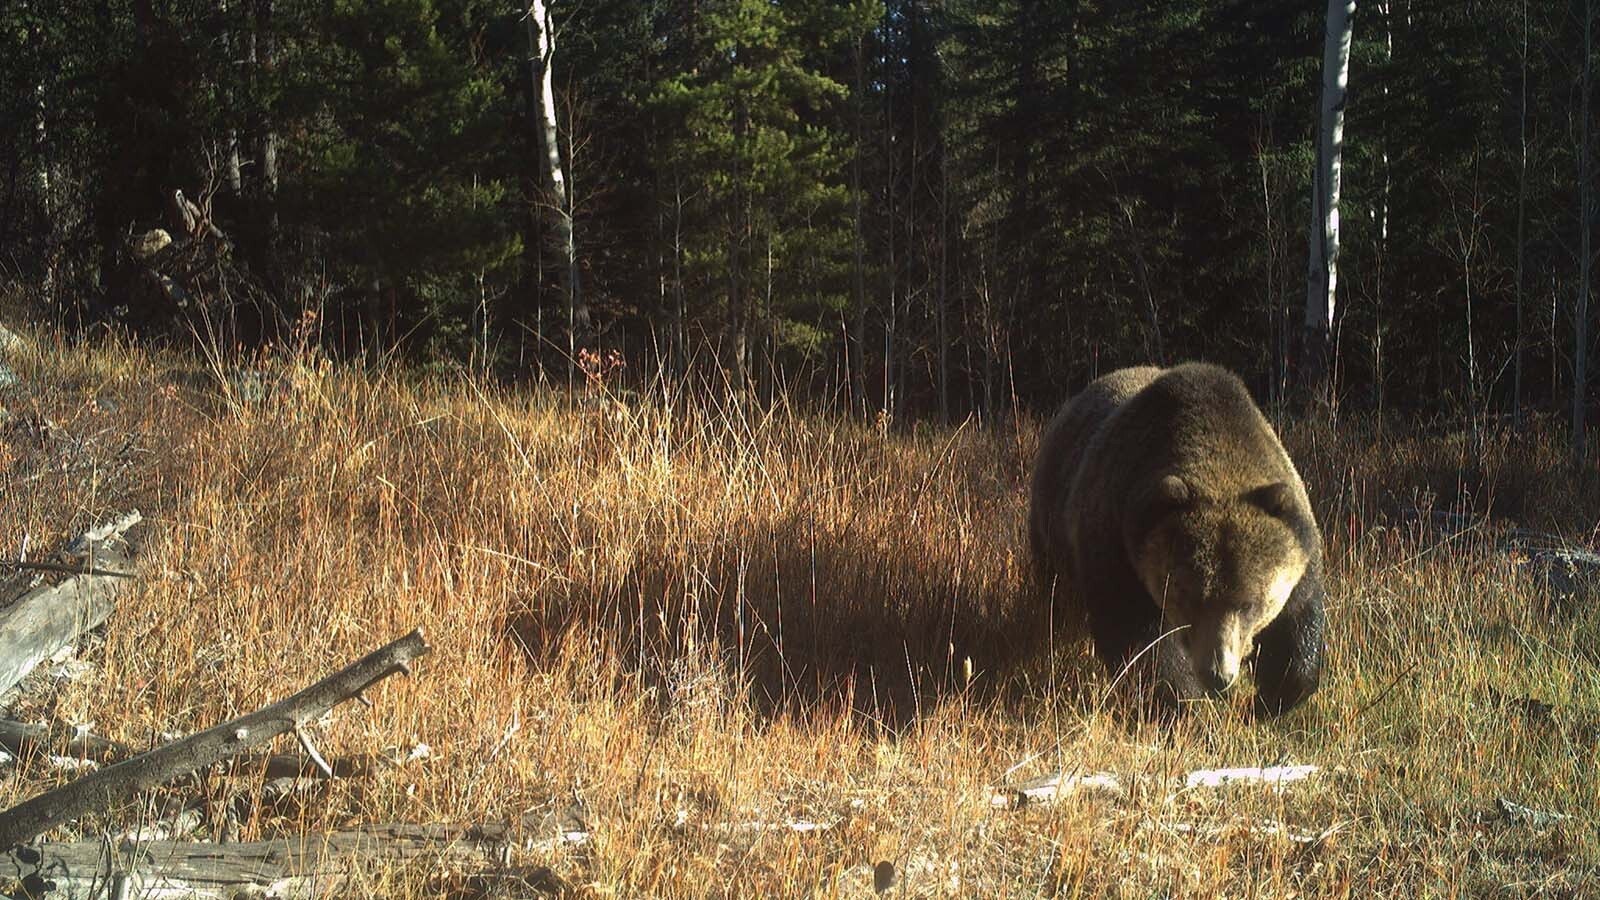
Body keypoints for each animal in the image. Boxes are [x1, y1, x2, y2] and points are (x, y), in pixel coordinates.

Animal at [1028, 362, 1325, 716]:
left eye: (1249, 602)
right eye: (1189, 596)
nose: (1218, 675)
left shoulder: (1297, 539)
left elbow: (1298, 622)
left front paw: (1270, 698)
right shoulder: (1118, 545)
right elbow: (1141, 646)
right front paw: (1187, 703)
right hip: (1051, 527)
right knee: (1054, 599)